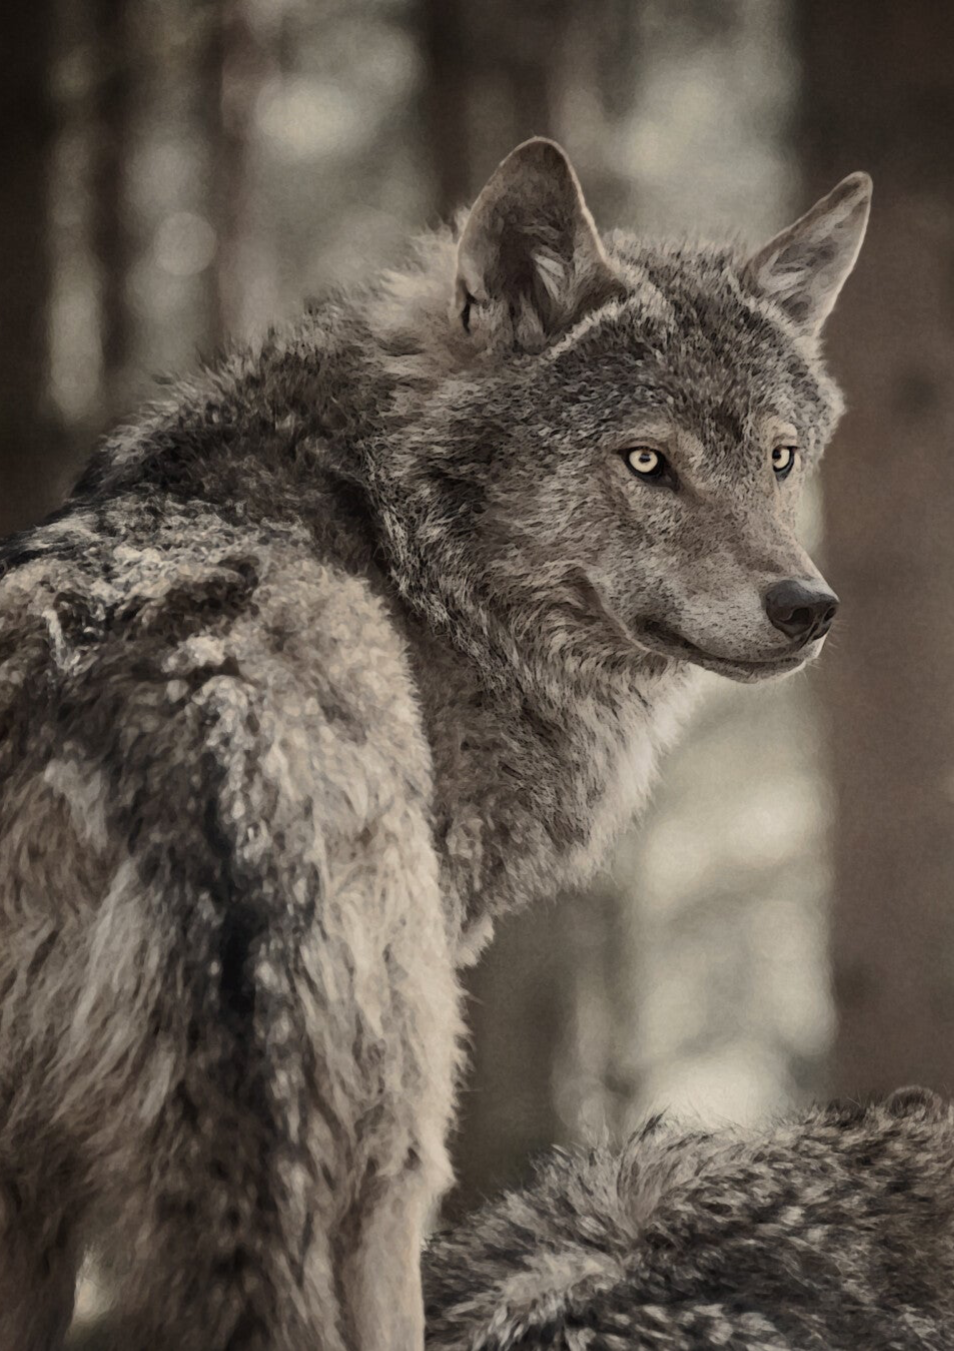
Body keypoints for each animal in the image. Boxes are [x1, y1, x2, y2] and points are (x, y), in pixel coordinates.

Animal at [0, 138, 869, 1350]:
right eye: (648, 461)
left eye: (781, 458)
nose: (807, 607)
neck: (397, 537)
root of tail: (178, 707)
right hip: (386, 1147)